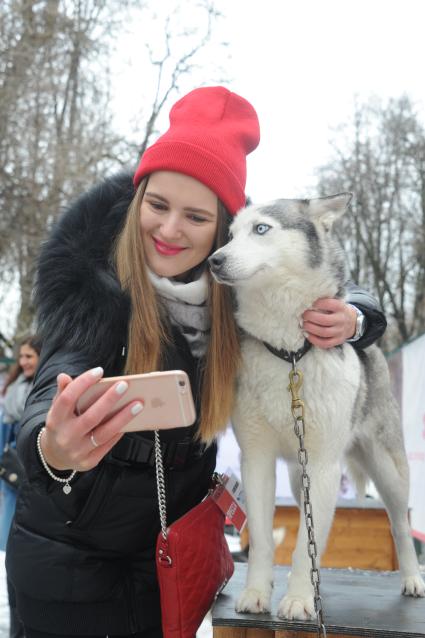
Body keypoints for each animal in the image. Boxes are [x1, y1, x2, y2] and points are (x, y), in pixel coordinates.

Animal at [207, 195, 422, 620]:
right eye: (231, 235)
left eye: (261, 229)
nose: (214, 261)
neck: (289, 352)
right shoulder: (257, 459)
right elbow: (265, 538)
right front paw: (257, 593)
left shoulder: (323, 465)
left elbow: (305, 546)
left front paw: (299, 599)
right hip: (297, 474)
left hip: (387, 470)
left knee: (399, 526)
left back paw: (412, 578)